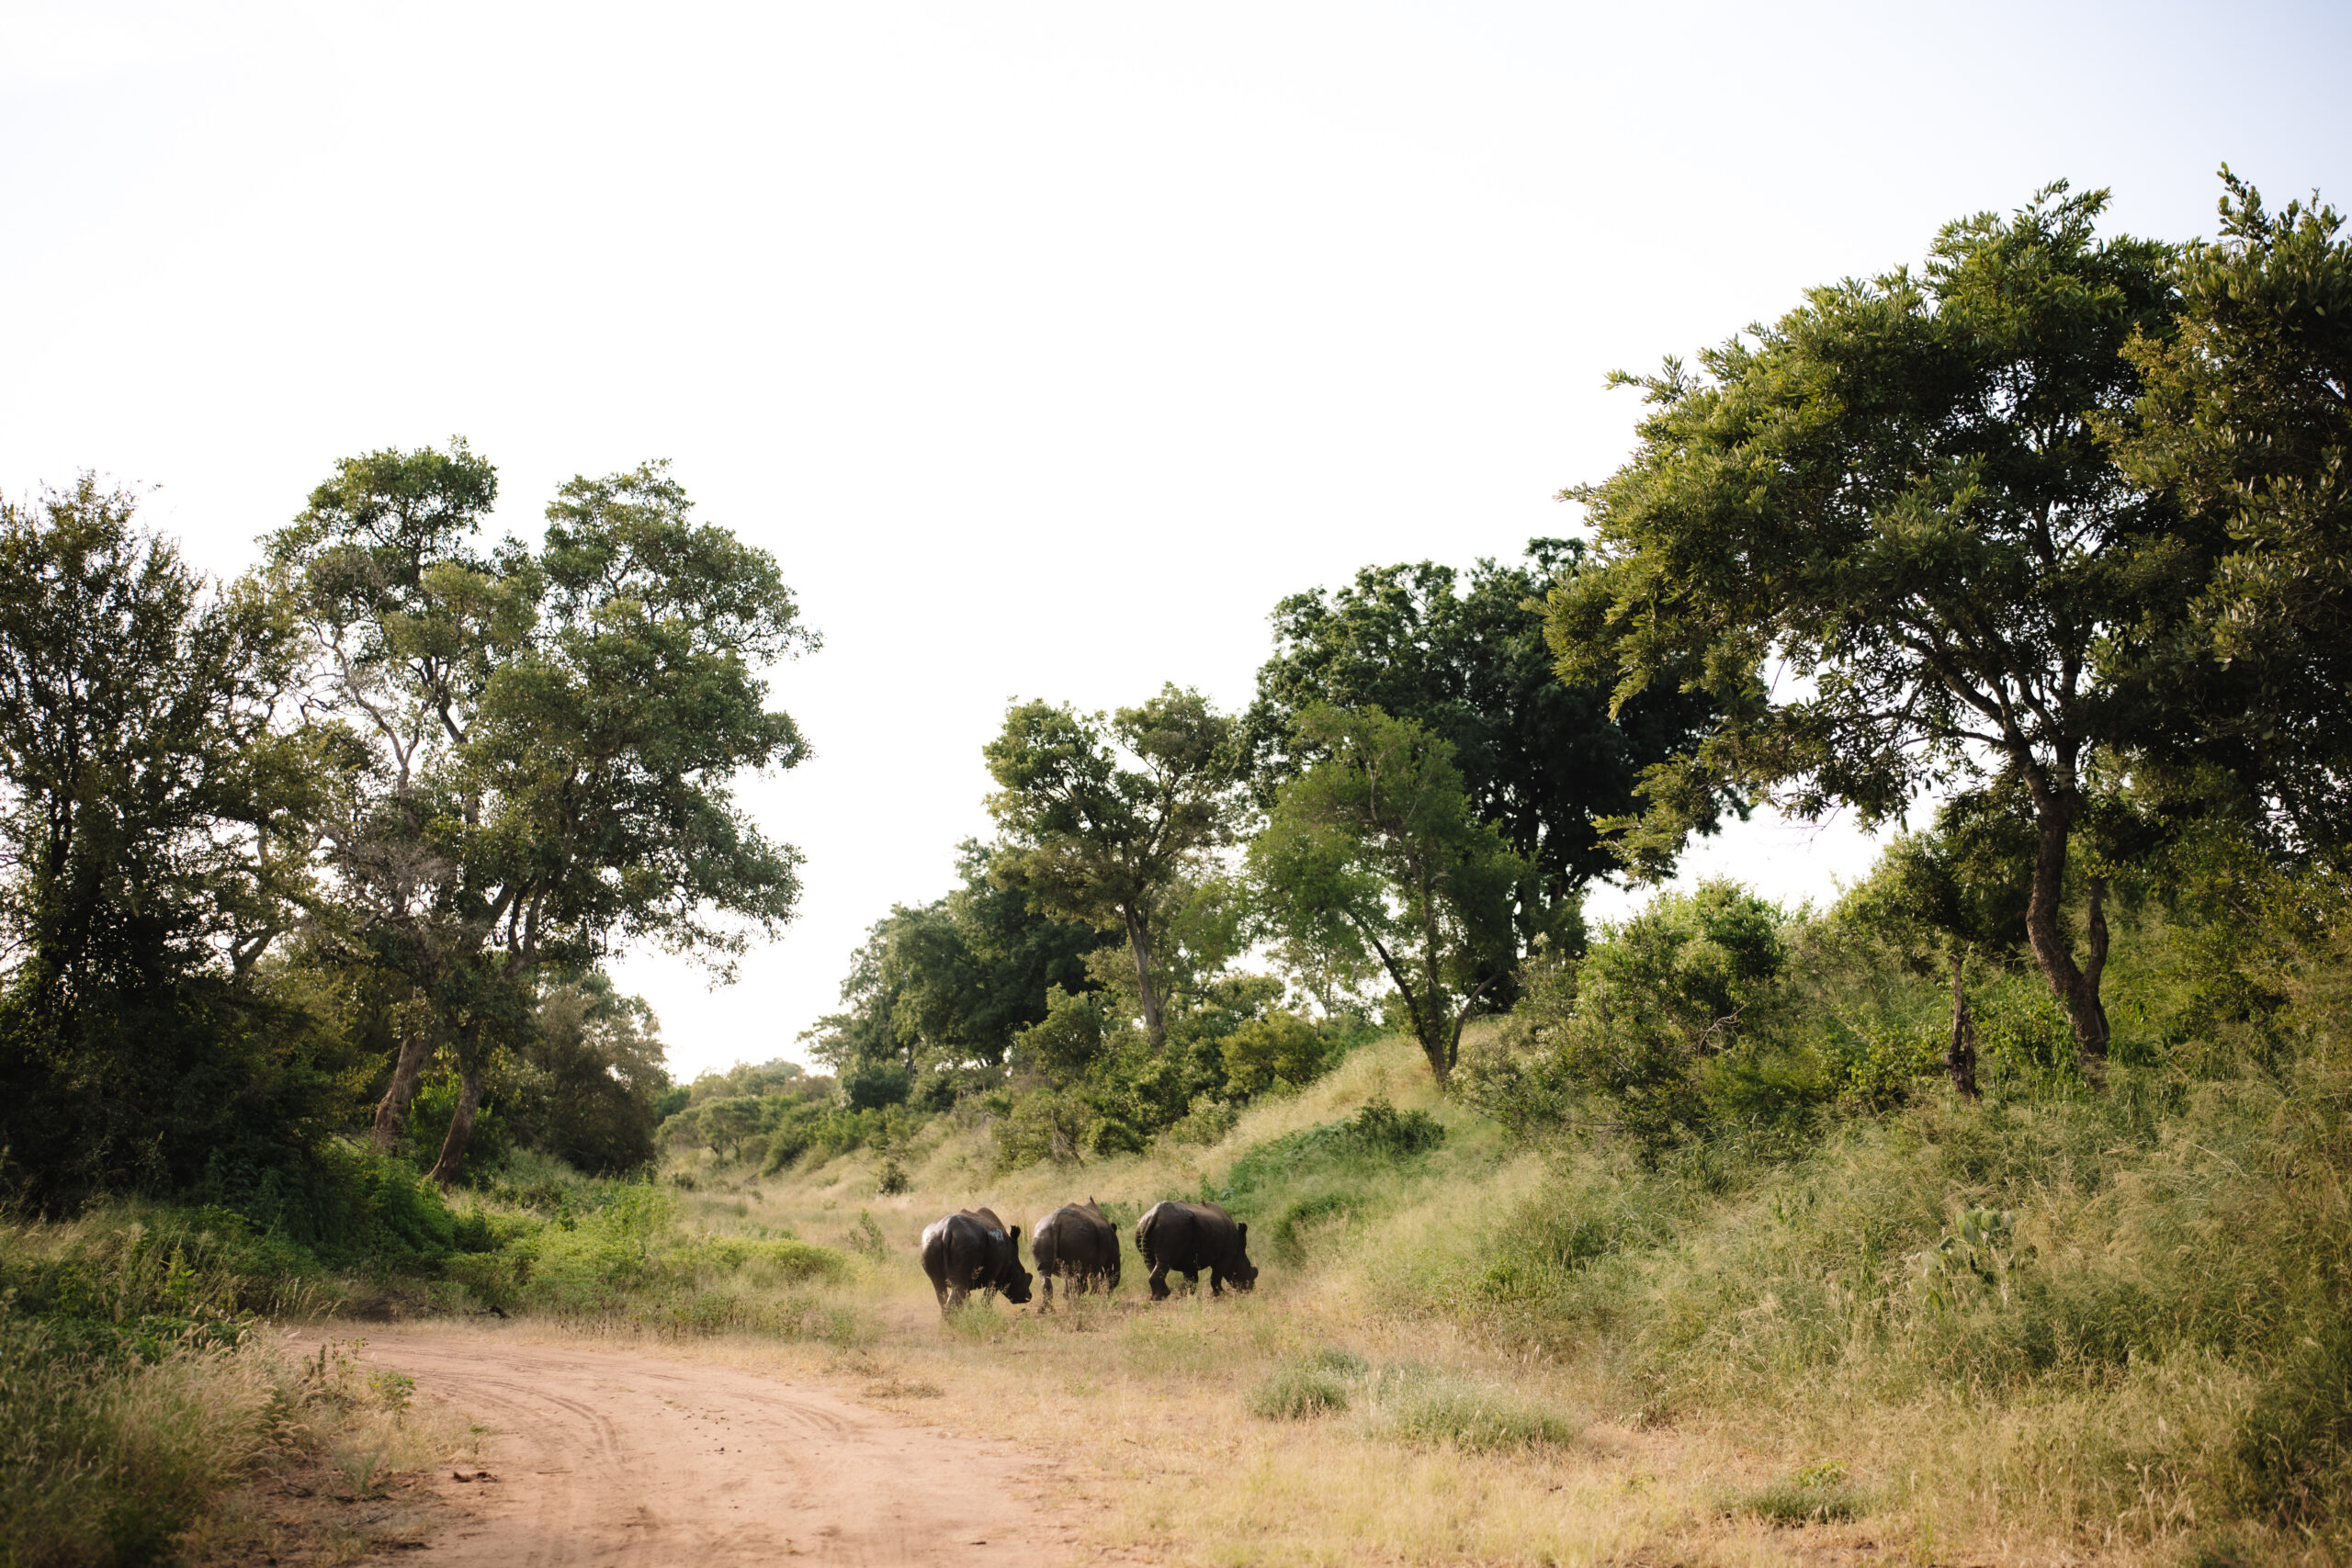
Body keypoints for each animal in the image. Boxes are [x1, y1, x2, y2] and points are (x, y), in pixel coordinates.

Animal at [1135, 1200, 1257, 1300]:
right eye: (1248, 1266)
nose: (1251, 1289)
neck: (1238, 1250)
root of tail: (1155, 1215)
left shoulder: (1190, 1257)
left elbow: (1192, 1279)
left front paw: (1185, 1294)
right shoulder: (1225, 1257)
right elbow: (1215, 1277)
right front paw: (1222, 1294)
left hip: (1142, 1226)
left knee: (1150, 1261)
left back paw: (1162, 1295)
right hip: (1170, 1227)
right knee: (1163, 1262)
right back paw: (1159, 1298)